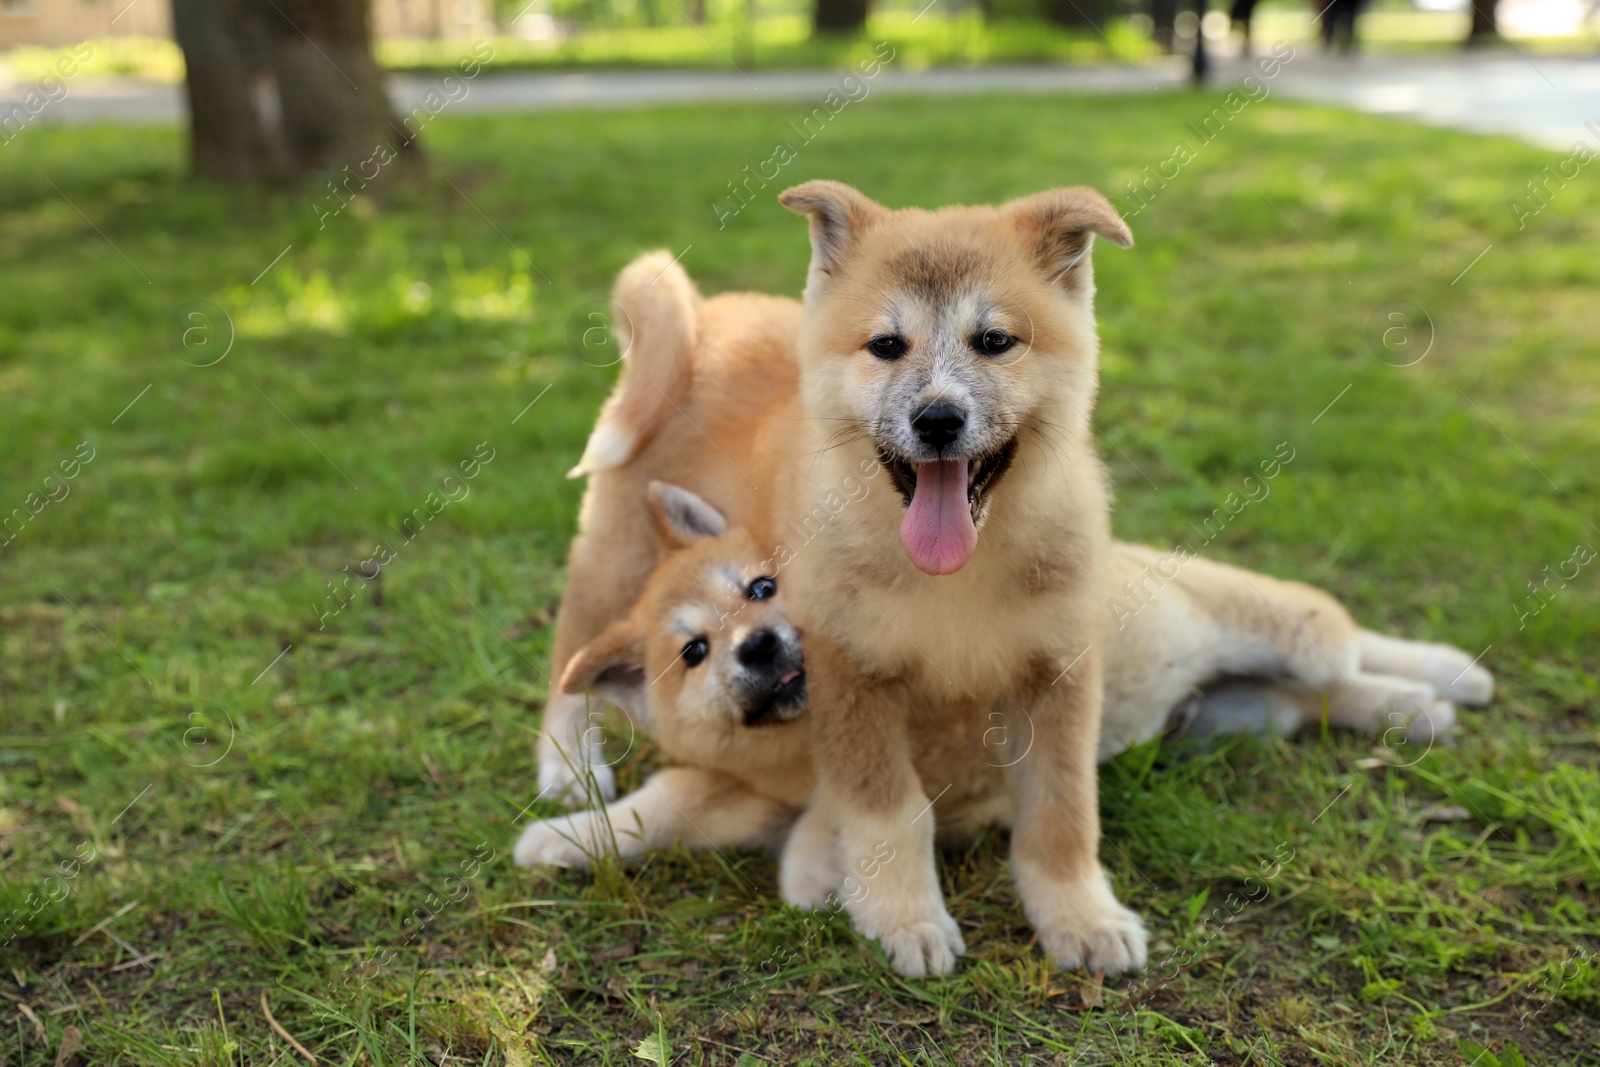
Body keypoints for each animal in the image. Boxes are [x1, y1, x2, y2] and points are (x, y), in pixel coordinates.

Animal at [518, 483, 1491, 902]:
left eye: (761, 589)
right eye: (693, 650)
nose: (756, 646)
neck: (796, 754)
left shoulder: (971, 761)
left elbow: (856, 808)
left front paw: (819, 866)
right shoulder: (738, 786)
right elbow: (663, 806)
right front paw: (565, 839)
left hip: (1286, 629)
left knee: (1344, 638)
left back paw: (1448, 675)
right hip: (1237, 714)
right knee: (1314, 702)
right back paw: (1412, 709)